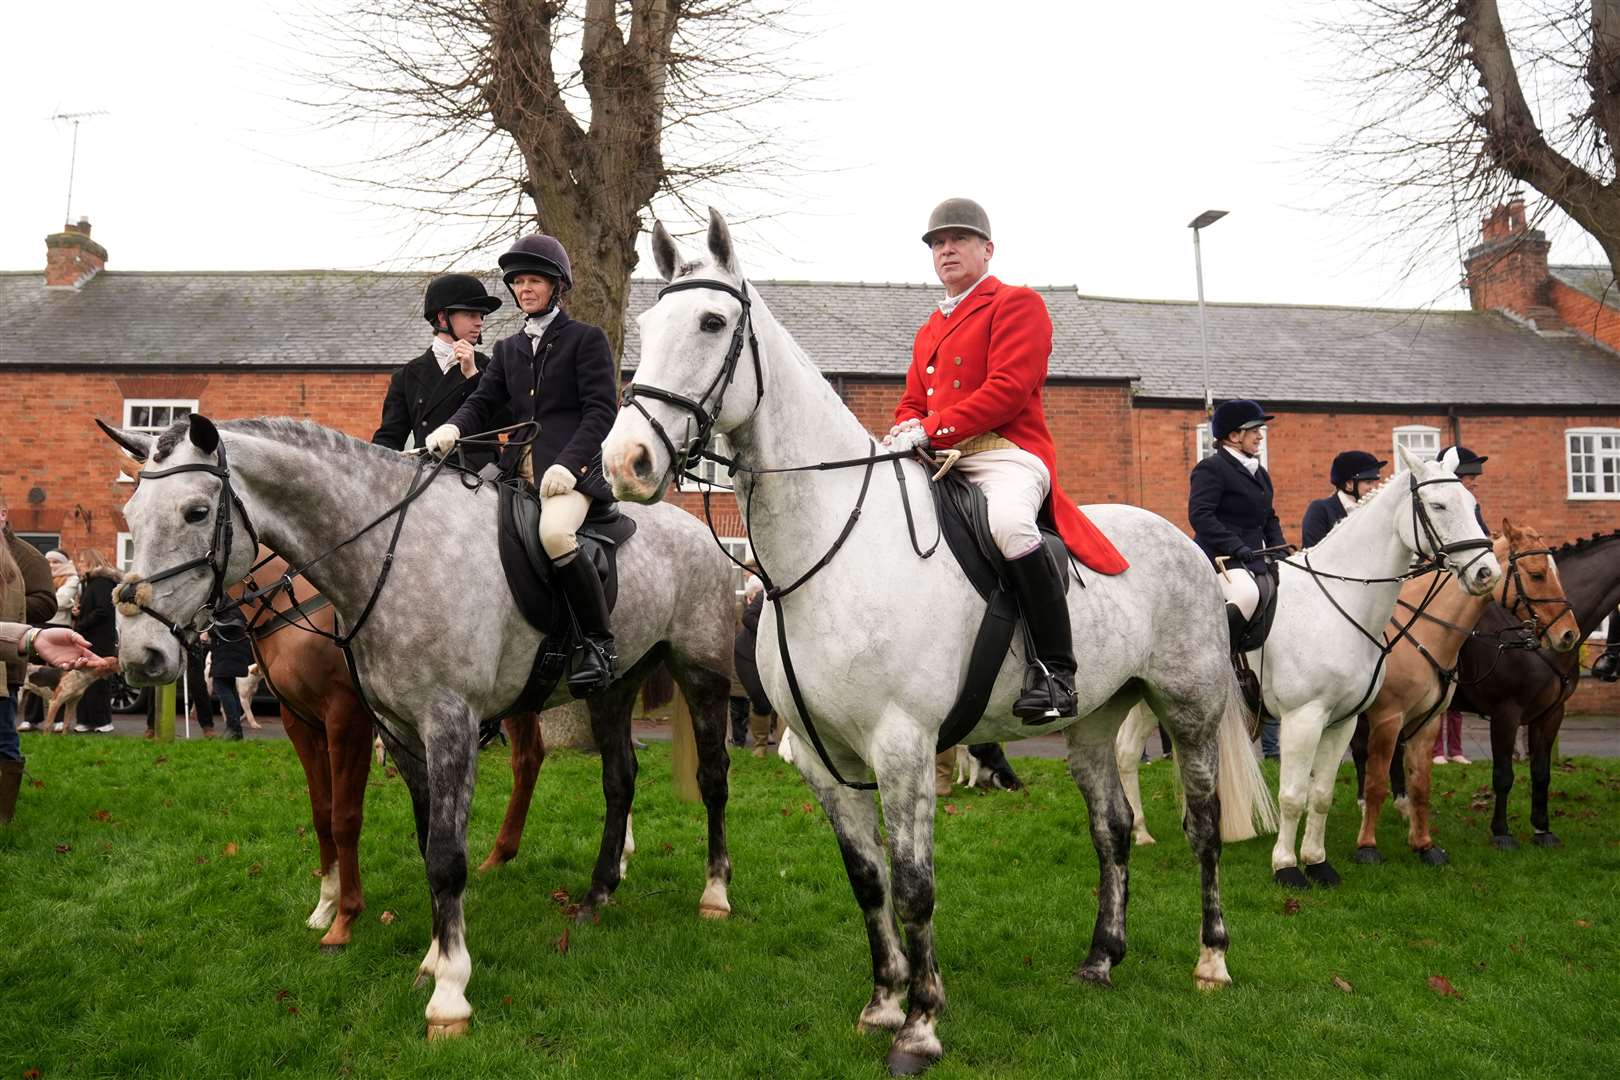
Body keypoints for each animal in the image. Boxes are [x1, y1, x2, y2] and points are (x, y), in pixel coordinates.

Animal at [102, 414, 735, 1036]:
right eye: (131, 515)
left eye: (195, 512)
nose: (140, 655)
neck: (391, 555)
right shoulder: (397, 729)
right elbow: (419, 838)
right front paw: (431, 959)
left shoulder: (443, 723)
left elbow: (443, 857)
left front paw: (449, 994)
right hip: (612, 688)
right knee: (619, 780)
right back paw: (598, 892)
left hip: (701, 674)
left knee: (712, 779)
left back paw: (714, 894)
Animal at [605, 208, 1276, 1075]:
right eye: (648, 328)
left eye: (712, 323)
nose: (625, 461)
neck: (836, 547)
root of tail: (1190, 548)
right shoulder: (823, 758)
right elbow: (867, 881)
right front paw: (883, 1003)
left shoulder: (903, 747)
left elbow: (914, 885)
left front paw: (921, 1025)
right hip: (1092, 722)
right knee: (1113, 829)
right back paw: (1102, 957)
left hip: (1188, 710)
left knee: (1201, 824)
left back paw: (1211, 958)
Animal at [1121, 450, 1496, 887]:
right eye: (1438, 506)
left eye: (1472, 504)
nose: (1487, 573)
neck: (1340, 601)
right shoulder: (1303, 719)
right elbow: (1292, 796)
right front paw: (1286, 866)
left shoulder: (1343, 721)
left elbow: (1320, 795)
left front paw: (1317, 862)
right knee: (1126, 753)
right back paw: (1141, 832)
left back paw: (1148, 830)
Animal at [1347, 518, 1574, 867]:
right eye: (1537, 574)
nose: (1569, 634)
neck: (1422, 627)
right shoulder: (1390, 715)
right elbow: (1376, 780)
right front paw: (1367, 847)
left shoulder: (1426, 718)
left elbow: (1421, 783)